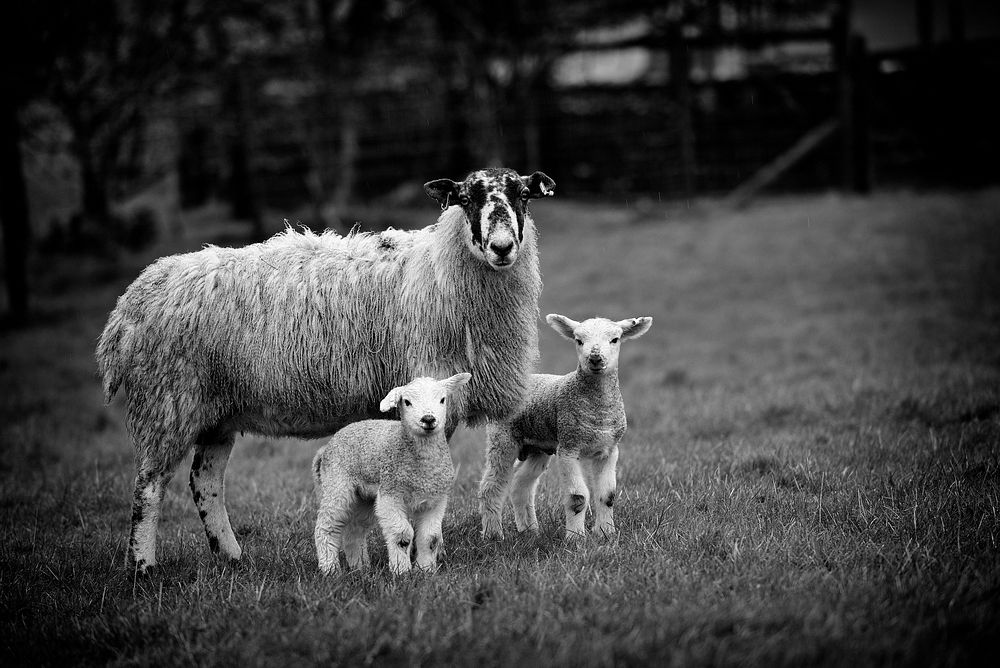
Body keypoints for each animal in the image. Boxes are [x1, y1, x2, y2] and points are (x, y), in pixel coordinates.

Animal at [310, 370, 470, 576]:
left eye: (442, 399)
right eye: (407, 402)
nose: (428, 419)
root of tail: (326, 448)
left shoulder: (436, 500)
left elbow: (430, 538)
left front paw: (426, 570)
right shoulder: (390, 494)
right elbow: (402, 535)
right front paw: (401, 571)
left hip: (364, 497)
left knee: (355, 530)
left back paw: (360, 568)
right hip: (337, 483)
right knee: (326, 527)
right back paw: (330, 569)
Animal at [478, 314, 652, 544]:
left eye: (615, 339)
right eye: (578, 340)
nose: (595, 358)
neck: (598, 412)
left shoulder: (609, 449)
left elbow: (607, 495)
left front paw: (606, 533)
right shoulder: (569, 446)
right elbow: (578, 497)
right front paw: (575, 538)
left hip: (538, 447)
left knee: (521, 485)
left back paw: (530, 531)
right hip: (502, 438)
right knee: (491, 486)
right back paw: (493, 534)